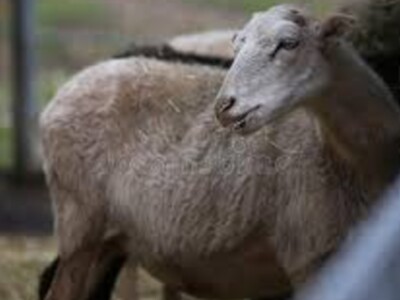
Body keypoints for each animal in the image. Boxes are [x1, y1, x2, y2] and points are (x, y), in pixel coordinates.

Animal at [39, 4, 400, 300]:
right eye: (237, 44)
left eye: (289, 43)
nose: (224, 106)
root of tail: (65, 90)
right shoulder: (309, 255)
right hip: (79, 226)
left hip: (110, 241)